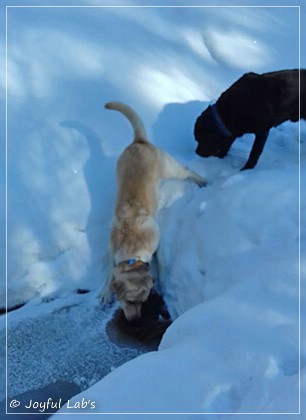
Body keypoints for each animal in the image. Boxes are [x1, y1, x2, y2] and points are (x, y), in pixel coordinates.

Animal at [100, 102, 206, 322]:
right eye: (130, 301)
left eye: (144, 300)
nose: (135, 321)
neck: (131, 250)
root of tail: (139, 141)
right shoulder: (111, 249)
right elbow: (109, 271)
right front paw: (105, 291)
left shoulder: (158, 243)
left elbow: (163, 265)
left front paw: (162, 283)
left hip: (170, 169)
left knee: (187, 170)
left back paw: (201, 180)